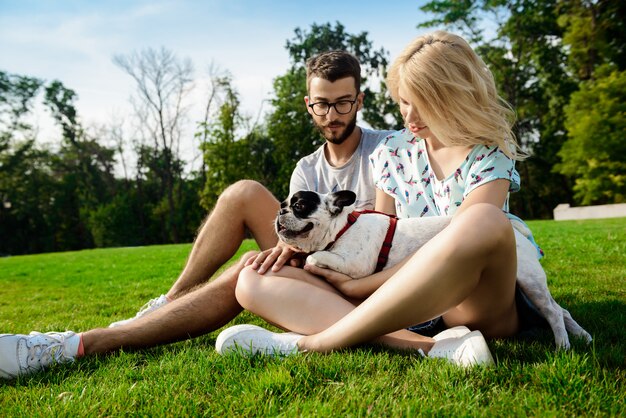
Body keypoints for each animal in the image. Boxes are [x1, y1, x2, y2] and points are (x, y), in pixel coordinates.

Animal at [276, 189, 588, 350]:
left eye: (300, 205)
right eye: (283, 204)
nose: (281, 211)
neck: (341, 228)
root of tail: (515, 229)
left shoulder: (355, 263)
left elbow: (315, 258)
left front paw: (312, 261)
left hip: (527, 280)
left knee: (552, 311)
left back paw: (563, 344)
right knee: (560, 309)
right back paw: (582, 336)